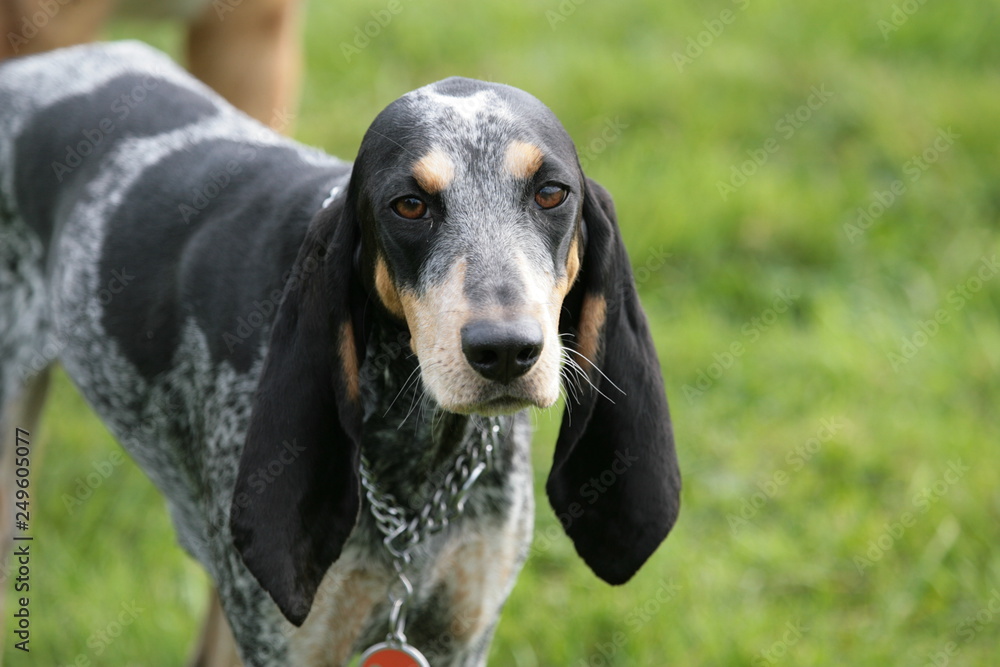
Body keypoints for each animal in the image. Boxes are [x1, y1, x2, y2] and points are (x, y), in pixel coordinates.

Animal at [0, 41, 680, 667]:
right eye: (410, 205)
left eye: (551, 194)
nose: (507, 350)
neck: (416, 473)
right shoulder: (291, 645)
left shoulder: (462, 638)